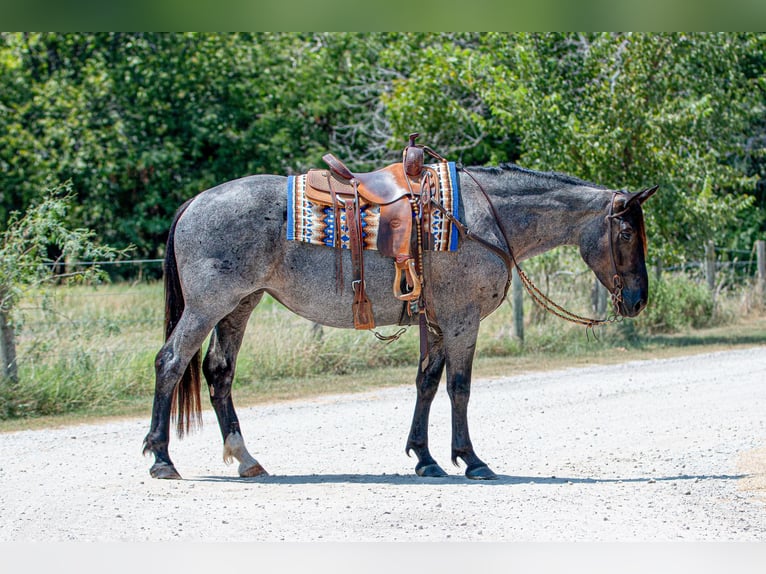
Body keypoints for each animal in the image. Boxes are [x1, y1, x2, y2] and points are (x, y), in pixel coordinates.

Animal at [142, 161, 660, 482]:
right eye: (627, 233)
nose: (638, 300)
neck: (484, 219)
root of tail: (194, 203)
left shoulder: (436, 323)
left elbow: (426, 383)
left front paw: (425, 458)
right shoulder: (461, 321)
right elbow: (459, 388)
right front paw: (470, 460)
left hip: (239, 306)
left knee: (219, 372)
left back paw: (245, 459)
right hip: (208, 307)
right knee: (170, 362)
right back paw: (161, 458)